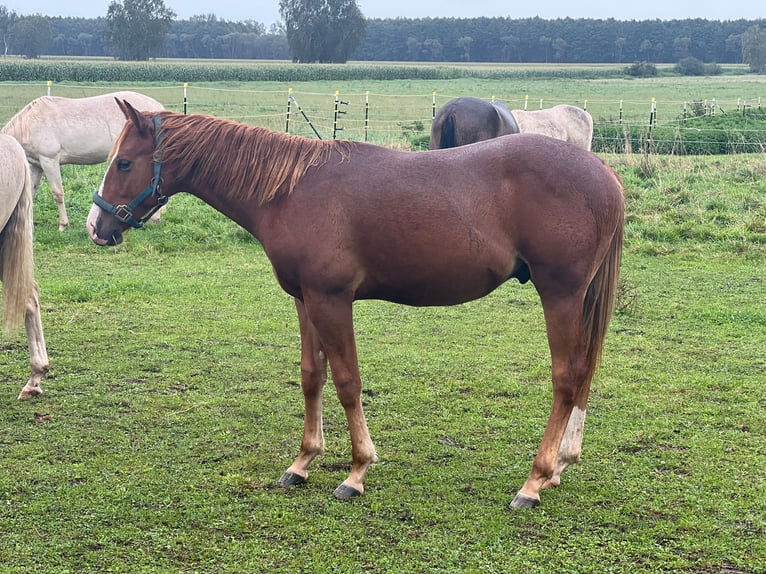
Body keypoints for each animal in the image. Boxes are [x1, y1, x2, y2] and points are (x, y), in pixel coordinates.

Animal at [1, 91, 165, 231]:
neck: (29, 124)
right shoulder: (35, 165)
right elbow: (31, 193)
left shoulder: (49, 160)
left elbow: (58, 193)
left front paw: (63, 225)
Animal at [87, 101, 628, 510]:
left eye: (125, 162)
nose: (97, 227)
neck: (291, 191)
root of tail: (602, 172)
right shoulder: (305, 299)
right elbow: (312, 377)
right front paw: (303, 463)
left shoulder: (332, 301)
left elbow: (348, 382)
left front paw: (357, 471)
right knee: (583, 372)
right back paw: (560, 467)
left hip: (560, 294)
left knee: (566, 376)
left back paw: (534, 481)